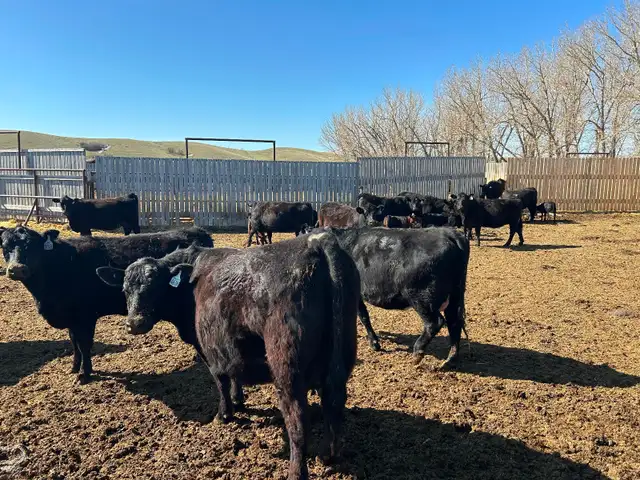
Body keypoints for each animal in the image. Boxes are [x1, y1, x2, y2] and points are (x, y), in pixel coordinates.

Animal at [0, 225, 213, 383]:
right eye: (4, 246)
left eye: (32, 245)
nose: (17, 269)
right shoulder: (71, 318)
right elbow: (73, 342)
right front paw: (74, 367)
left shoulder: (85, 316)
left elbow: (84, 344)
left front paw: (84, 374)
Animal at [96, 233, 360, 480]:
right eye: (125, 289)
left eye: (155, 287)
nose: (134, 323)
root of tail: (317, 241)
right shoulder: (229, 345)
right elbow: (234, 373)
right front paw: (238, 399)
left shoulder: (209, 348)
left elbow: (220, 380)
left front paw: (224, 414)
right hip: (341, 358)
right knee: (333, 404)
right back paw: (328, 455)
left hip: (286, 368)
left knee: (297, 420)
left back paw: (296, 471)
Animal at [305, 226, 469, 367]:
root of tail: (448, 232)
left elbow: (362, 316)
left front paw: (374, 344)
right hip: (454, 296)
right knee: (454, 322)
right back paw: (451, 358)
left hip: (421, 297)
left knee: (435, 322)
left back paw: (417, 353)